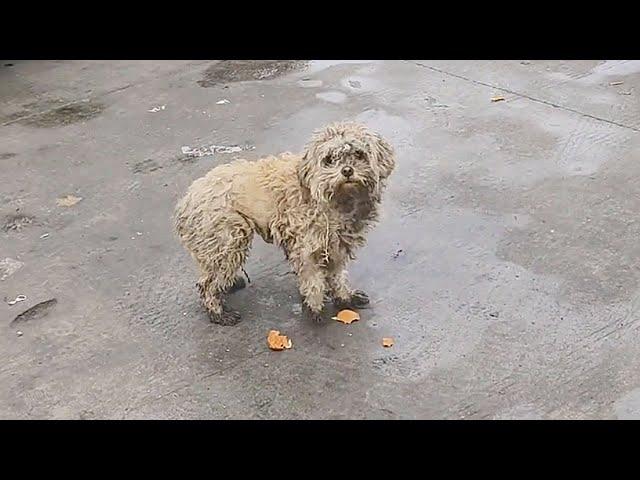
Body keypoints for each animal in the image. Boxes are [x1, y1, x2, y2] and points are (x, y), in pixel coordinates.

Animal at [175, 123, 396, 326]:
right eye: (329, 159)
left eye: (359, 154)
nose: (347, 171)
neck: (335, 198)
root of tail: (188, 198)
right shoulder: (307, 247)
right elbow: (313, 280)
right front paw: (314, 308)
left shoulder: (337, 245)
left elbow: (337, 275)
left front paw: (344, 297)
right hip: (229, 240)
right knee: (207, 283)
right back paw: (218, 312)